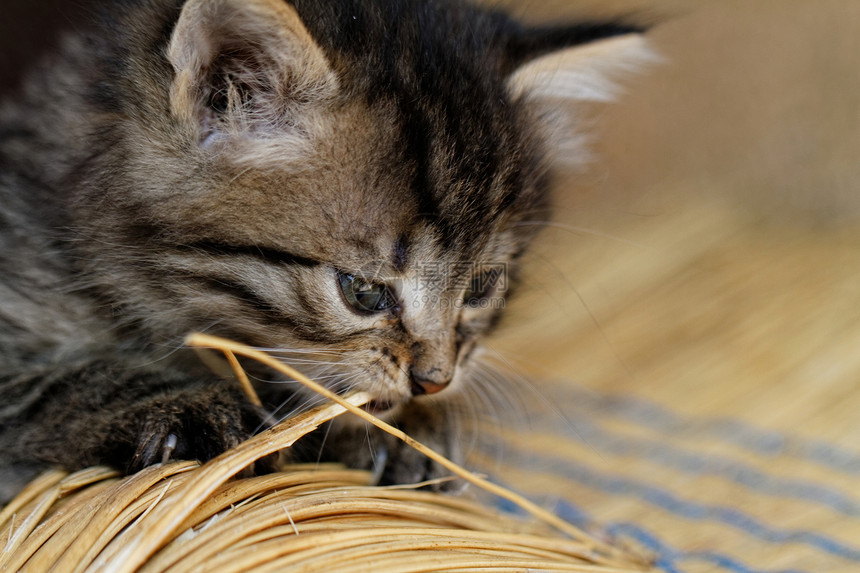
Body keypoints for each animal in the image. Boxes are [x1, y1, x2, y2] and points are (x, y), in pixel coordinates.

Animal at [0, 0, 644, 498]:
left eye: (482, 286)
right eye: (362, 292)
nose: (434, 381)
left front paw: (409, 429)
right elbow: (59, 381)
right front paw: (183, 407)